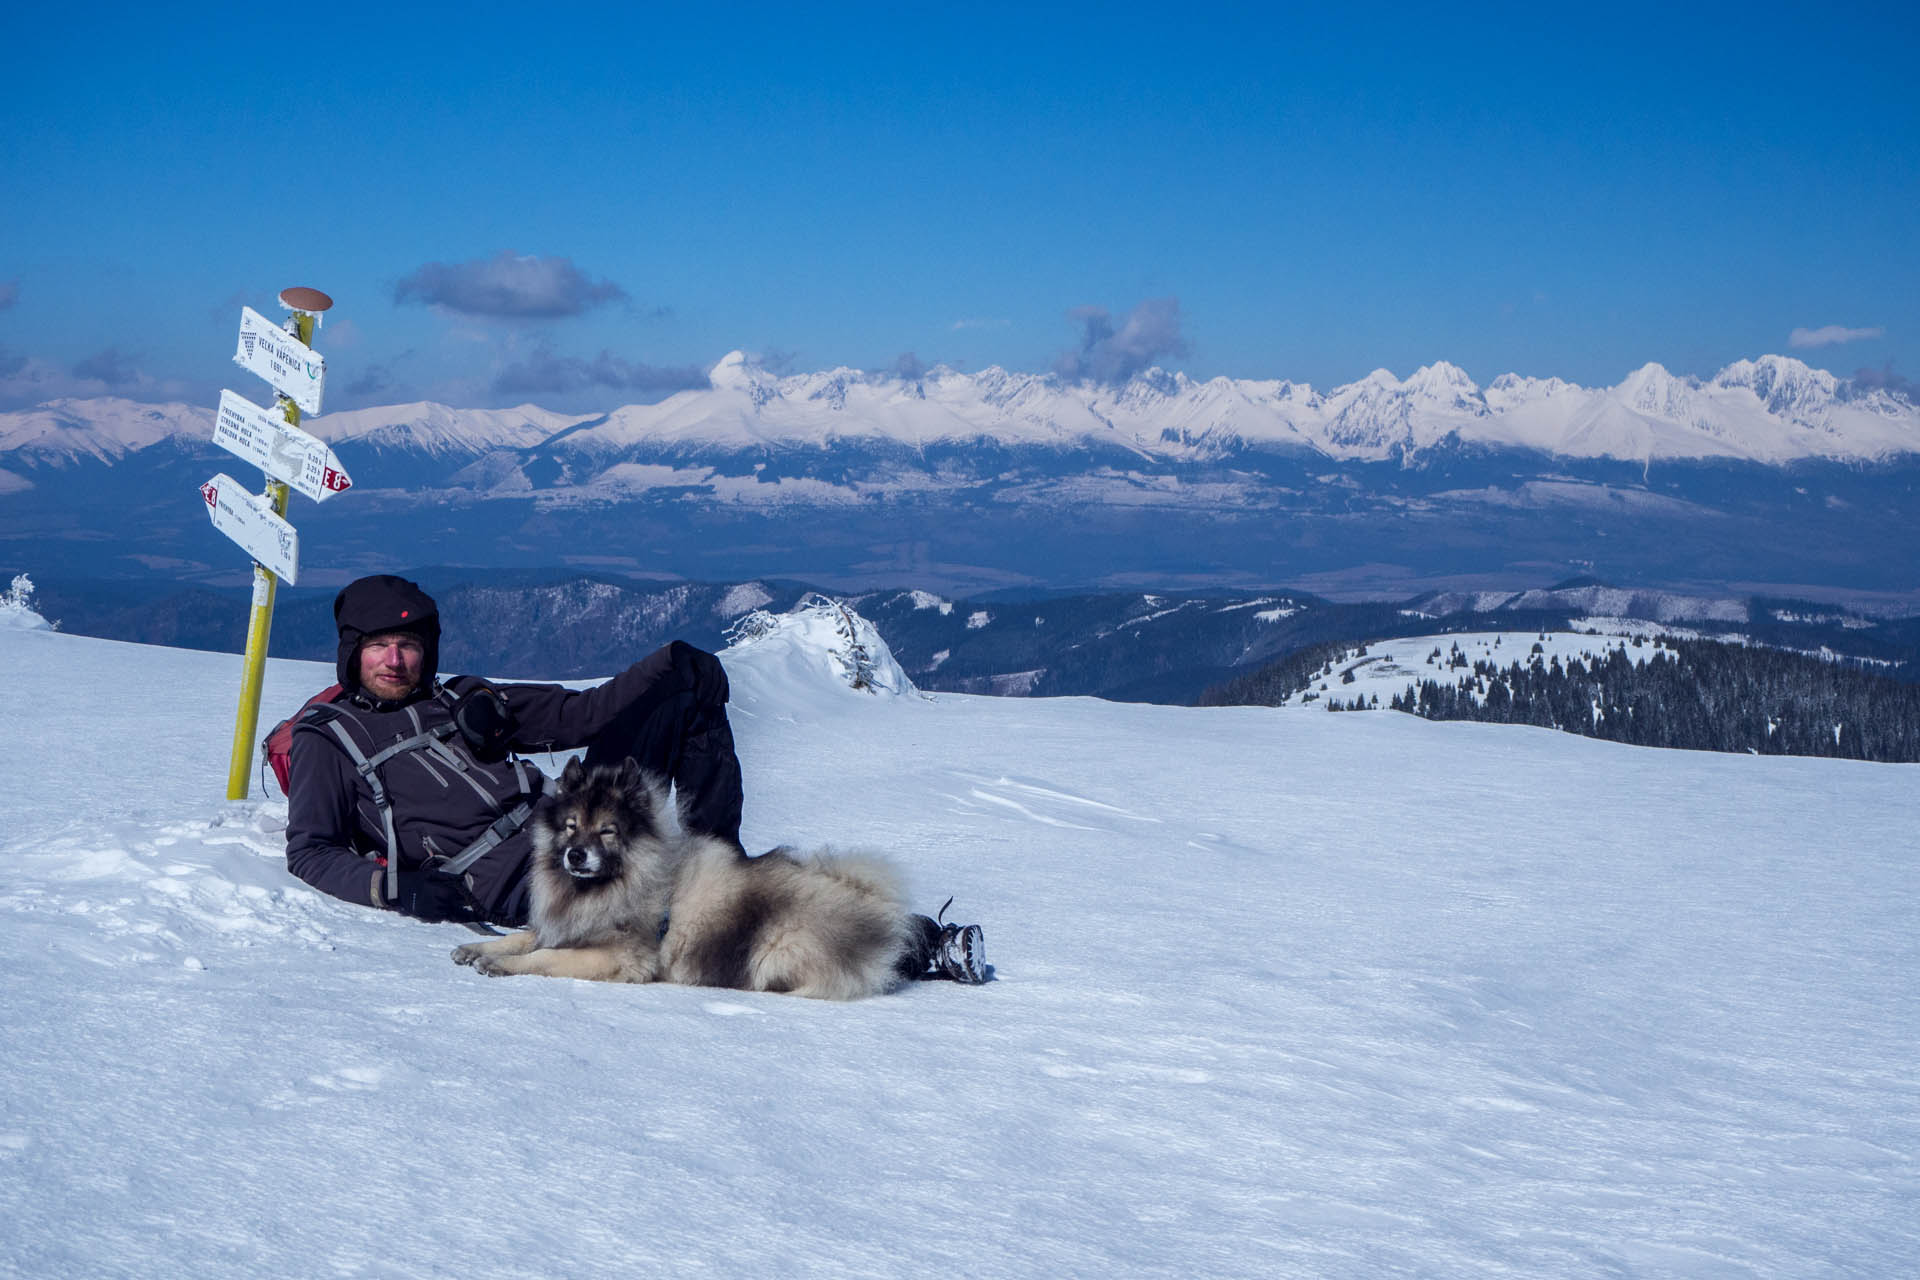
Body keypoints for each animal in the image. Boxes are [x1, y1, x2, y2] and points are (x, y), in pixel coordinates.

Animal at [449, 759, 913, 997]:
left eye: (607, 831)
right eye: (570, 826)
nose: (575, 855)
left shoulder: (620, 955)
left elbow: (544, 956)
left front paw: (499, 964)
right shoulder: (564, 926)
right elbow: (523, 937)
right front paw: (476, 947)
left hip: (776, 950)